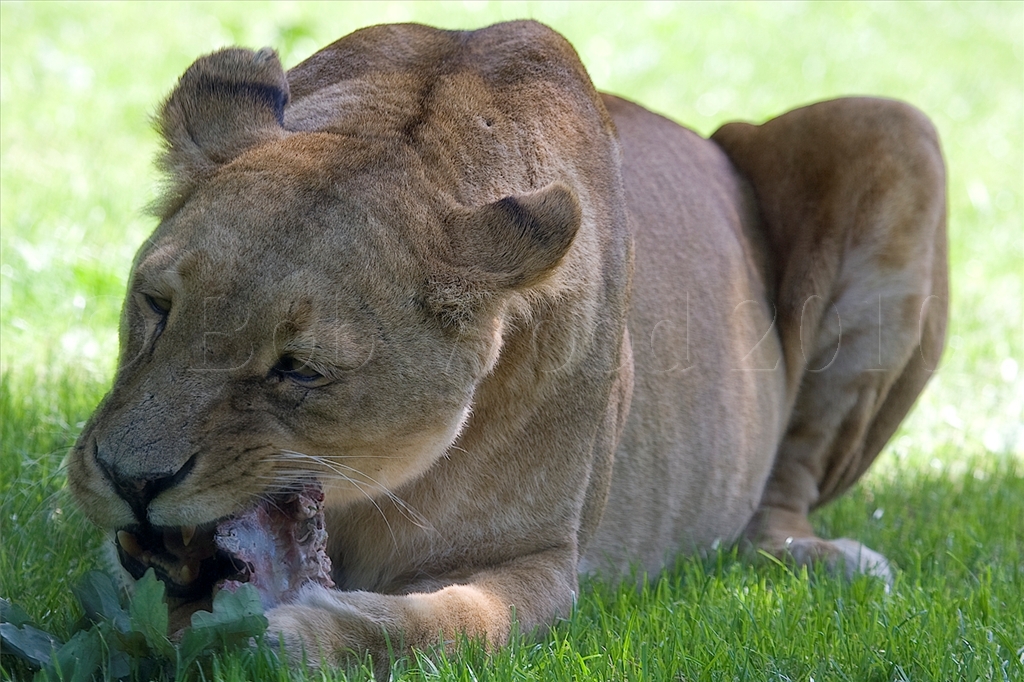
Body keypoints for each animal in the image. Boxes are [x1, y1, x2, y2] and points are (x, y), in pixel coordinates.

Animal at [67, 20, 947, 676]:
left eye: (300, 370)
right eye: (156, 306)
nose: (130, 481)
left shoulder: (549, 560)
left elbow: (449, 621)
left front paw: (284, 638)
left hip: (897, 126)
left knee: (781, 496)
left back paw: (833, 561)